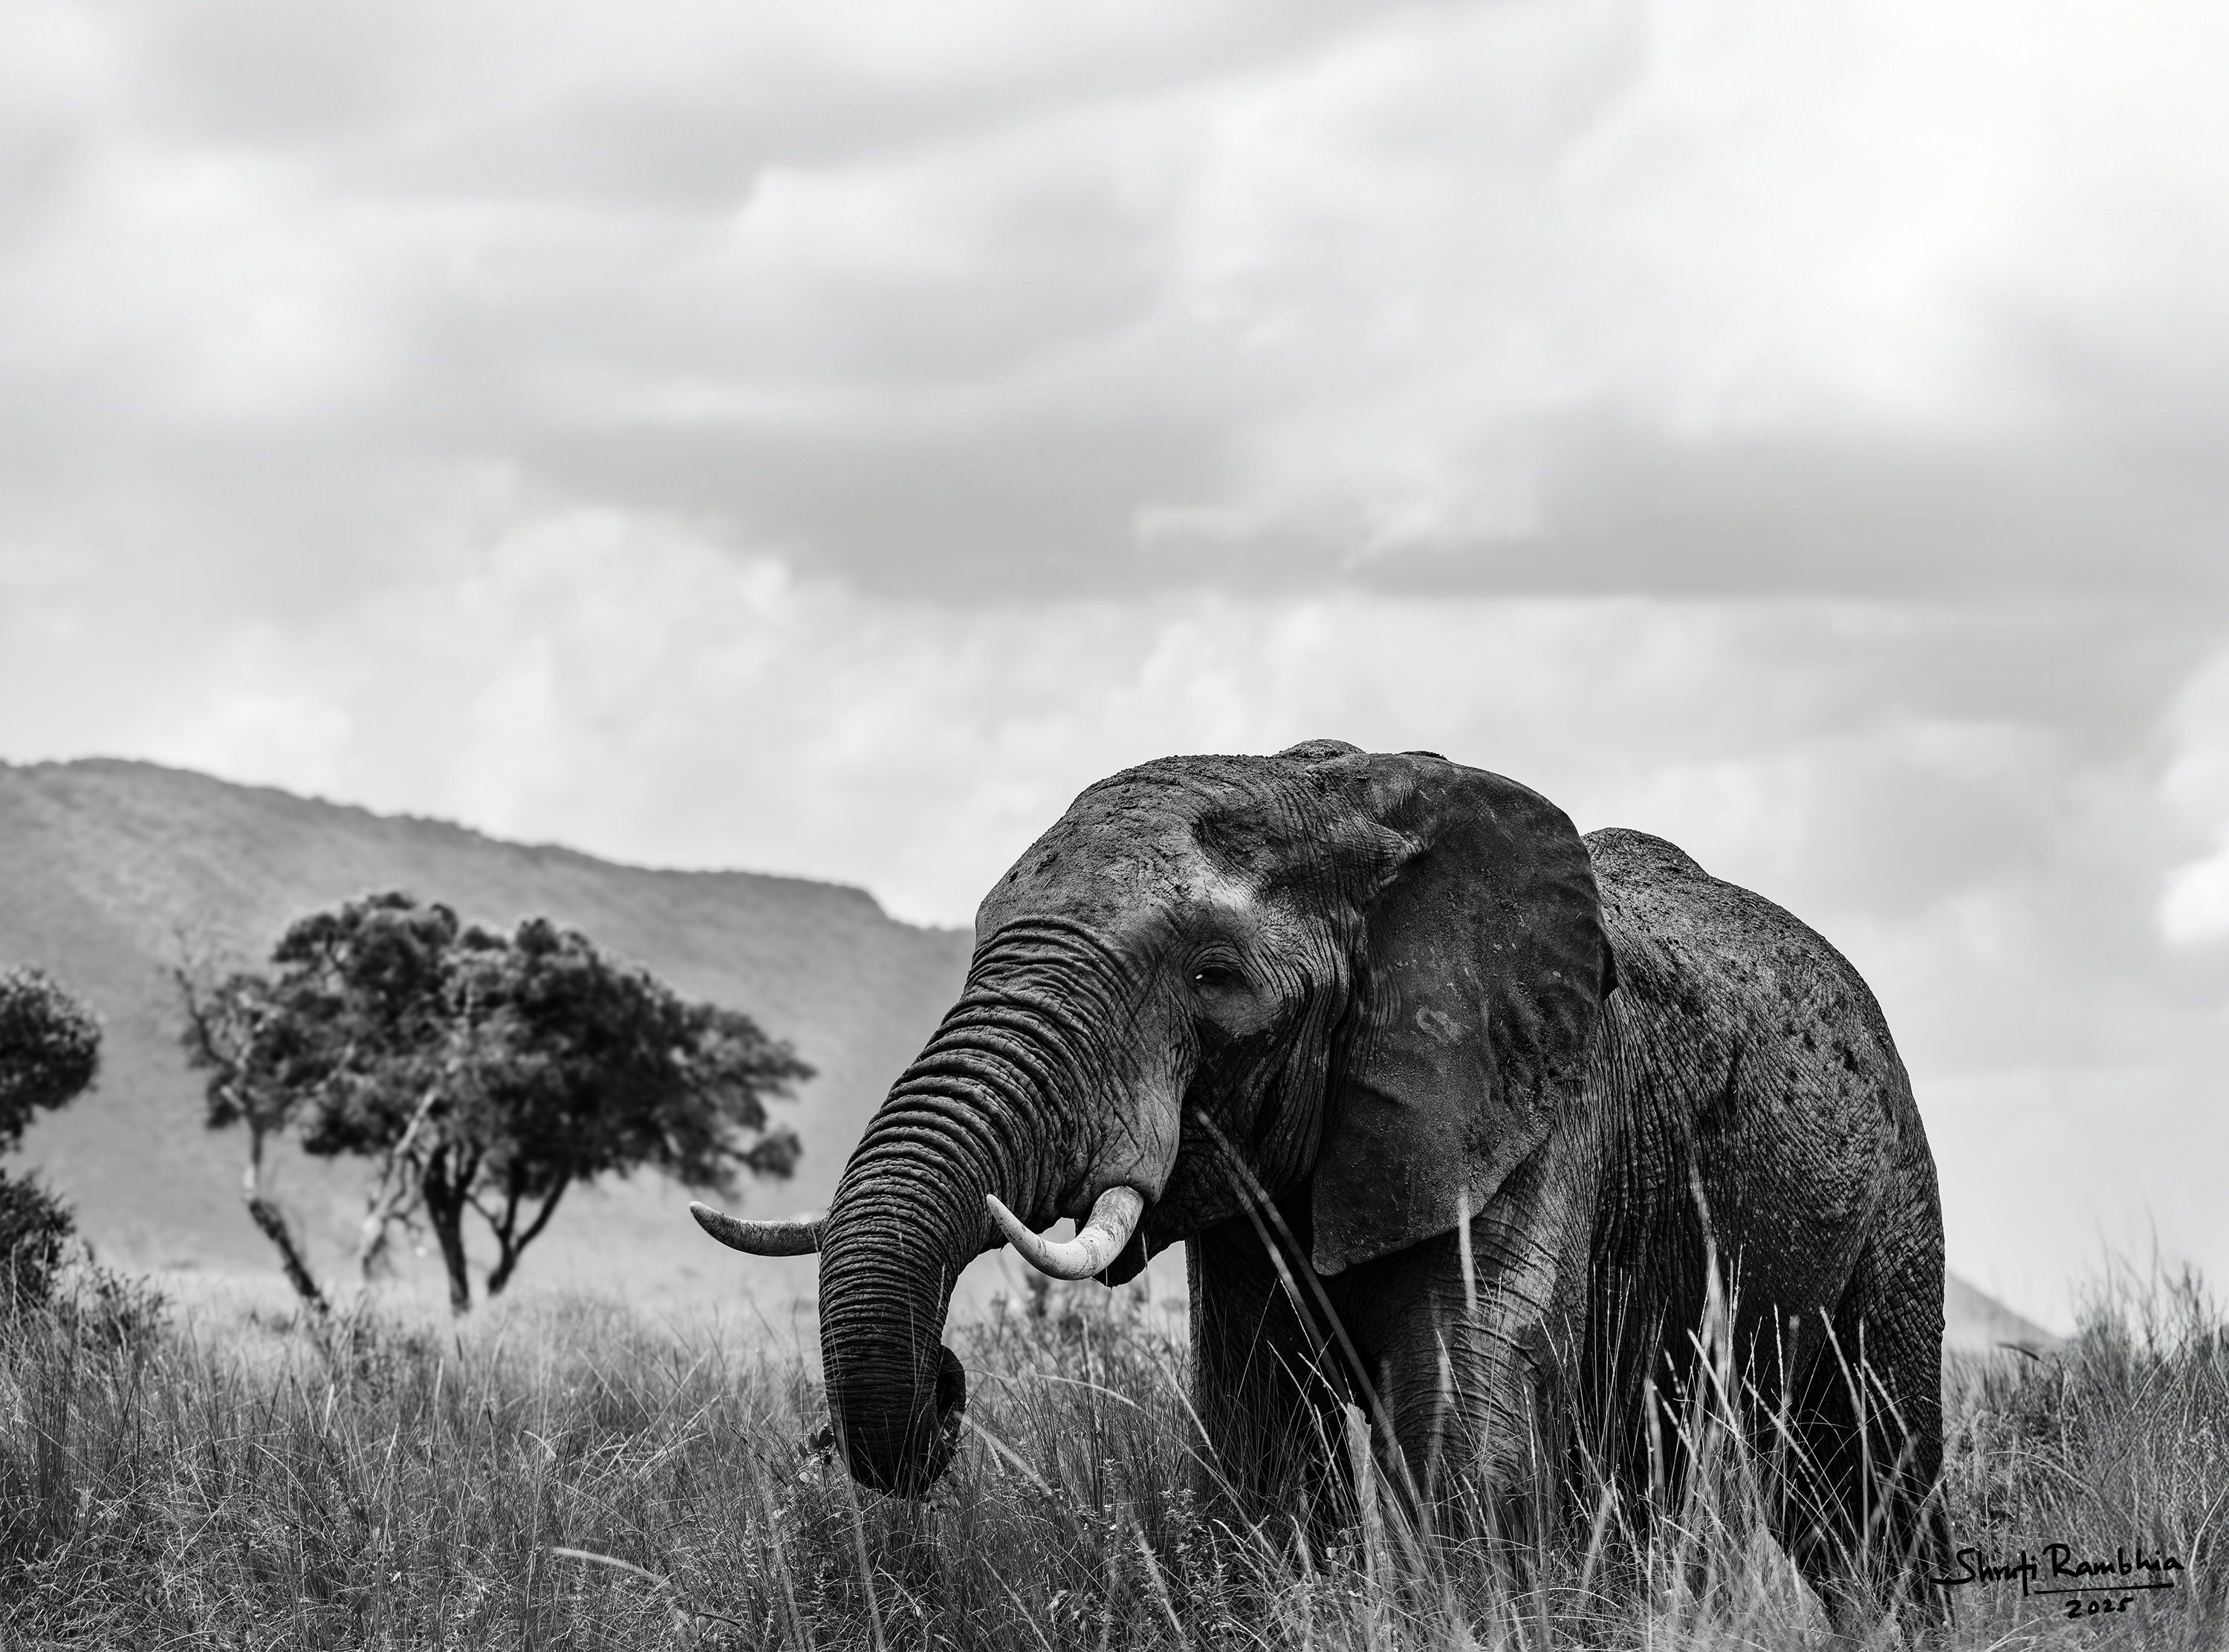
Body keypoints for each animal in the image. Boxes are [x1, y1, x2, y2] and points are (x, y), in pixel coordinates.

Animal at [694, 741, 1947, 1619]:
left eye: (1213, 977)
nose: (948, 1387)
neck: (1339, 798)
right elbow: (1261, 1448)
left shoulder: (1539, 1100)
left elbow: (1464, 1414)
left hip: (1897, 1187)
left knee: (1865, 1483)